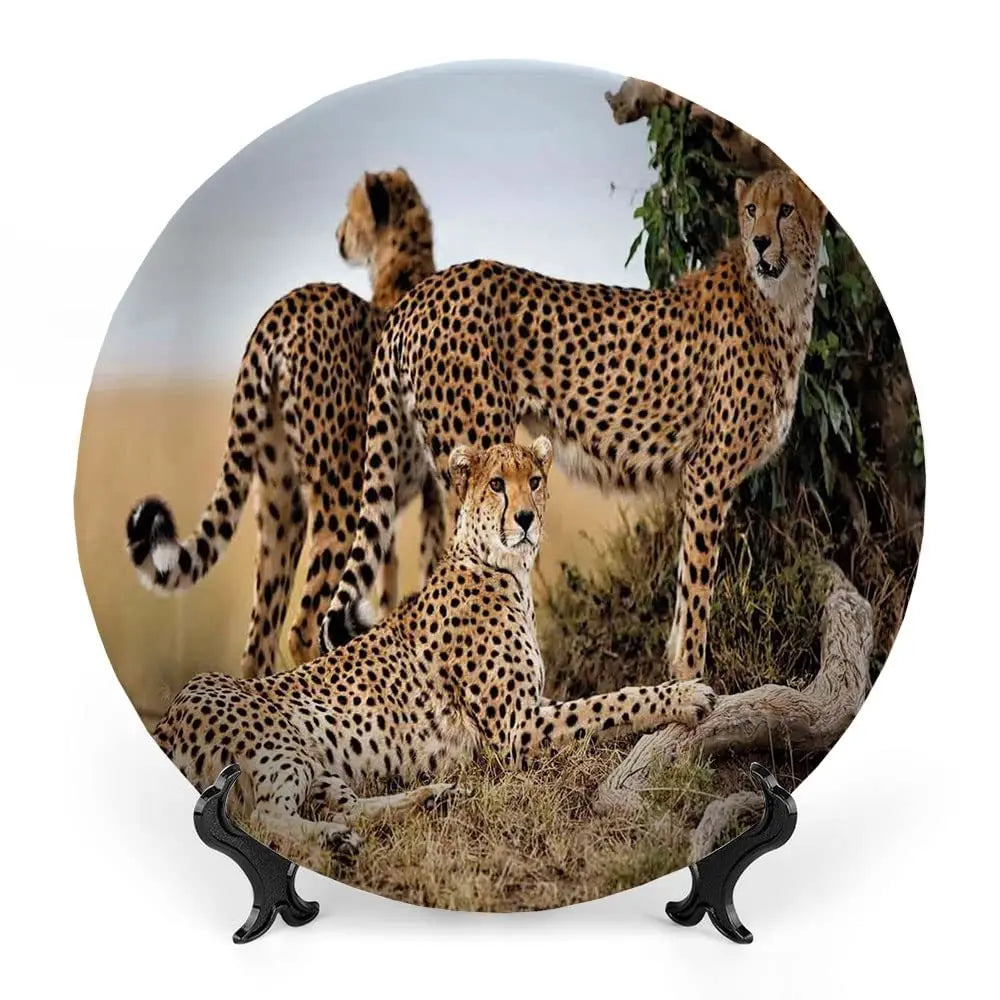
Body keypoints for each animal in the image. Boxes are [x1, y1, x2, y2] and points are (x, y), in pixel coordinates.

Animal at [125, 167, 446, 678]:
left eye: (350, 211)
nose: (338, 235)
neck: (402, 265)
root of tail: (284, 307)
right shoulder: (427, 494)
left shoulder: (390, 509)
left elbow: (387, 585)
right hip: (340, 497)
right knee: (303, 628)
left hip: (280, 504)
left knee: (260, 639)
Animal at [152, 438, 715, 858]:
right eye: (496, 484)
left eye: (534, 481)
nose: (526, 518)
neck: (499, 566)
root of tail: (166, 724)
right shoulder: (516, 730)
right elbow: (609, 702)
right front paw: (685, 696)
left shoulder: (529, 710)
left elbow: (601, 701)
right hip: (277, 742)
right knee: (265, 818)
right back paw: (335, 841)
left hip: (321, 765)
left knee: (340, 805)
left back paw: (429, 800)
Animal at [319, 167, 827, 683]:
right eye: (751, 210)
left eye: (786, 209)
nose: (761, 243)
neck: (780, 301)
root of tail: (421, 293)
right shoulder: (708, 473)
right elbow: (697, 589)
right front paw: (691, 678)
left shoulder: (702, 478)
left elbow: (687, 589)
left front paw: (676, 671)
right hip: (481, 457)